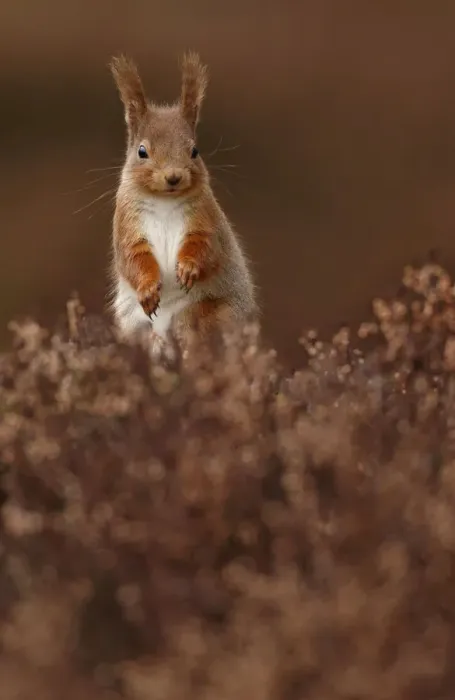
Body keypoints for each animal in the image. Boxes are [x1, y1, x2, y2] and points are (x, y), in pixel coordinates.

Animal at [108, 51, 256, 347]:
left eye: (195, 151)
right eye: (142, 151)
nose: (173, 176)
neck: (164, 201)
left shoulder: (205, 218)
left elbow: (206, 247)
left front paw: (188, 269)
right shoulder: (127, 224)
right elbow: (133, 258)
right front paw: (147, 290)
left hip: (202, 314)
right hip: (138, 329)